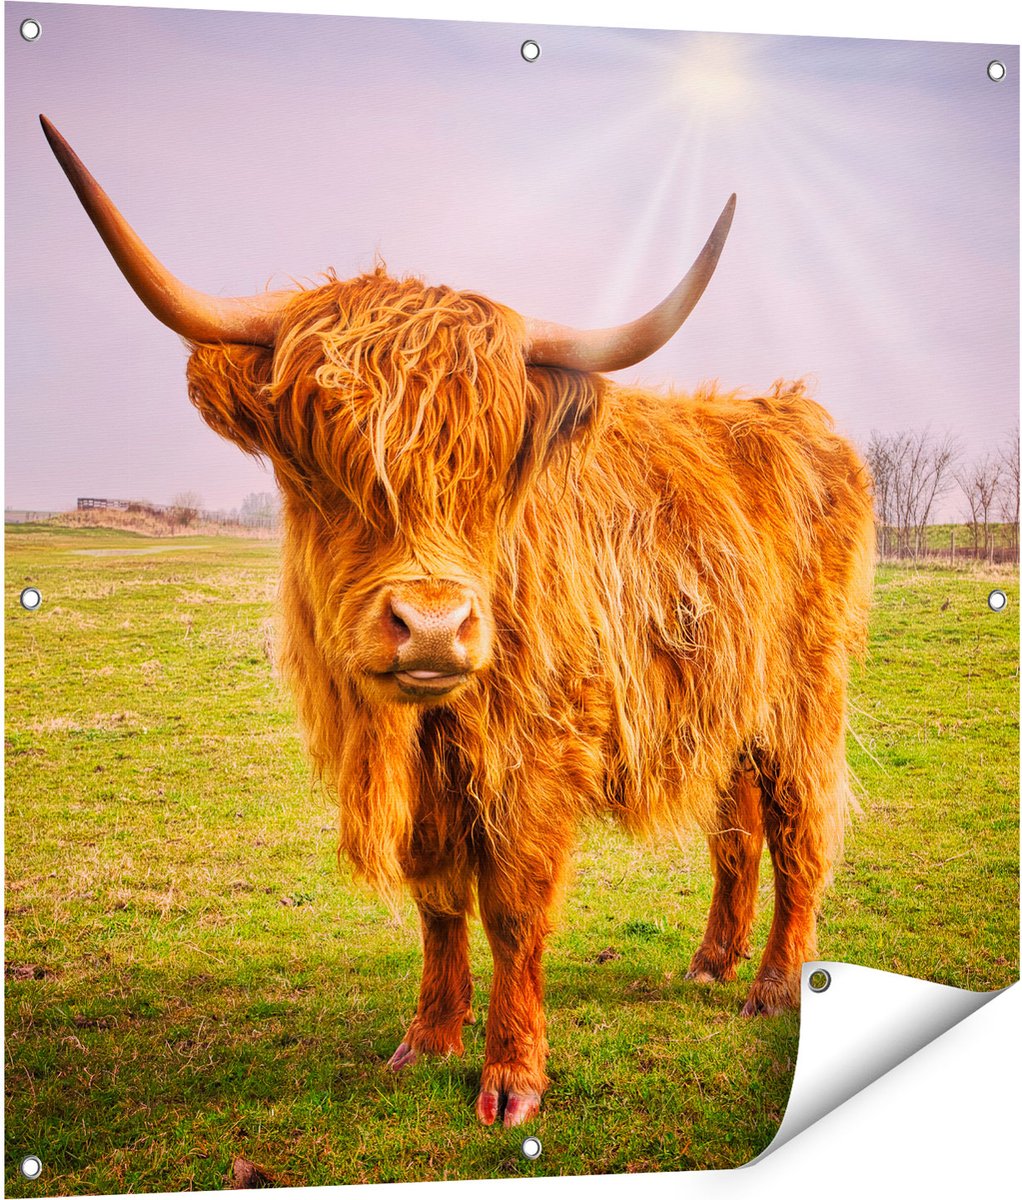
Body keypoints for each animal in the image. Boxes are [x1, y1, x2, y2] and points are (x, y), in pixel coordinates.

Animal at [42, 115, 874, 1129]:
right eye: (322, 459)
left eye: (491, 467)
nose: (434, 626)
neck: (426, 727)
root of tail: (794, 410)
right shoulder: (430, 782)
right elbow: (438, 897)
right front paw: (430, 1037)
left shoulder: (537, 752)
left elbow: (513, 908)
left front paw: (512, 1076)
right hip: (728, 699)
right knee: (739, 826)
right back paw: (712, 962)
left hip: (804, 695)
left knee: (799, 827)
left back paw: (774, 985)